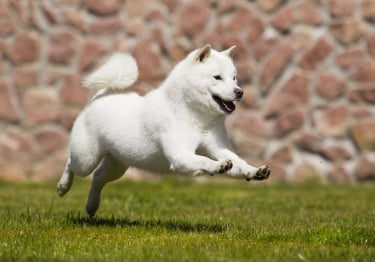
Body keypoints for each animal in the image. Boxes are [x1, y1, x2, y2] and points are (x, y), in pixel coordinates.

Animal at [56, 45, 270, 216]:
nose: (239, 91)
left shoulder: (219, 148)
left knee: (98, 177)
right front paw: (217, 166)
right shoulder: (180, 155)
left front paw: (255, 171)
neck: (194, 116)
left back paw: (92, 206)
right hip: (86, 158)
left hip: (117, 164)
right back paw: (62, 187)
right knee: (71, 163)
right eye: (217, 77)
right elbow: (203, 160)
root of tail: (100, 96)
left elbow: (239, 164)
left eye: (234, 78)